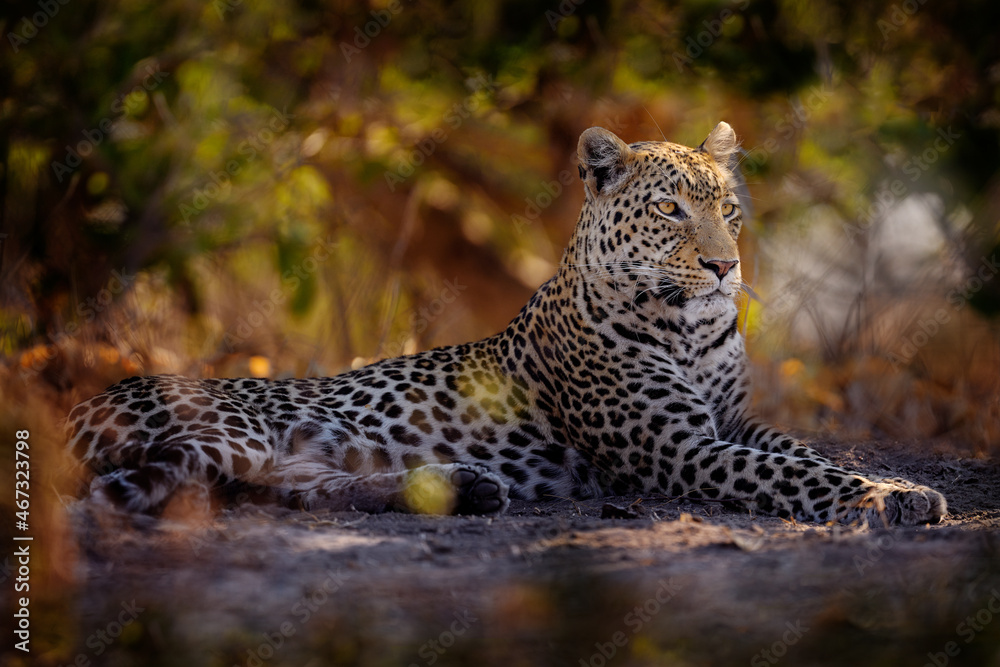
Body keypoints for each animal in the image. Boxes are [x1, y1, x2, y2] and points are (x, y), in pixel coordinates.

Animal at [65, 122, 947, 526]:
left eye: (728, 209)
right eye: (670, 209)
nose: (725, 267)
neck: (691, 332)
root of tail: (82, 402)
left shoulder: (737, 424)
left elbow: (808, 452)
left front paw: (904, 485)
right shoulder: (679, 449)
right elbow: (794, 475)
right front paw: (887, 495)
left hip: (289, 459)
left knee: (300, 488)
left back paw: (467, 485)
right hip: (233, 428)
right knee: (196, 483)